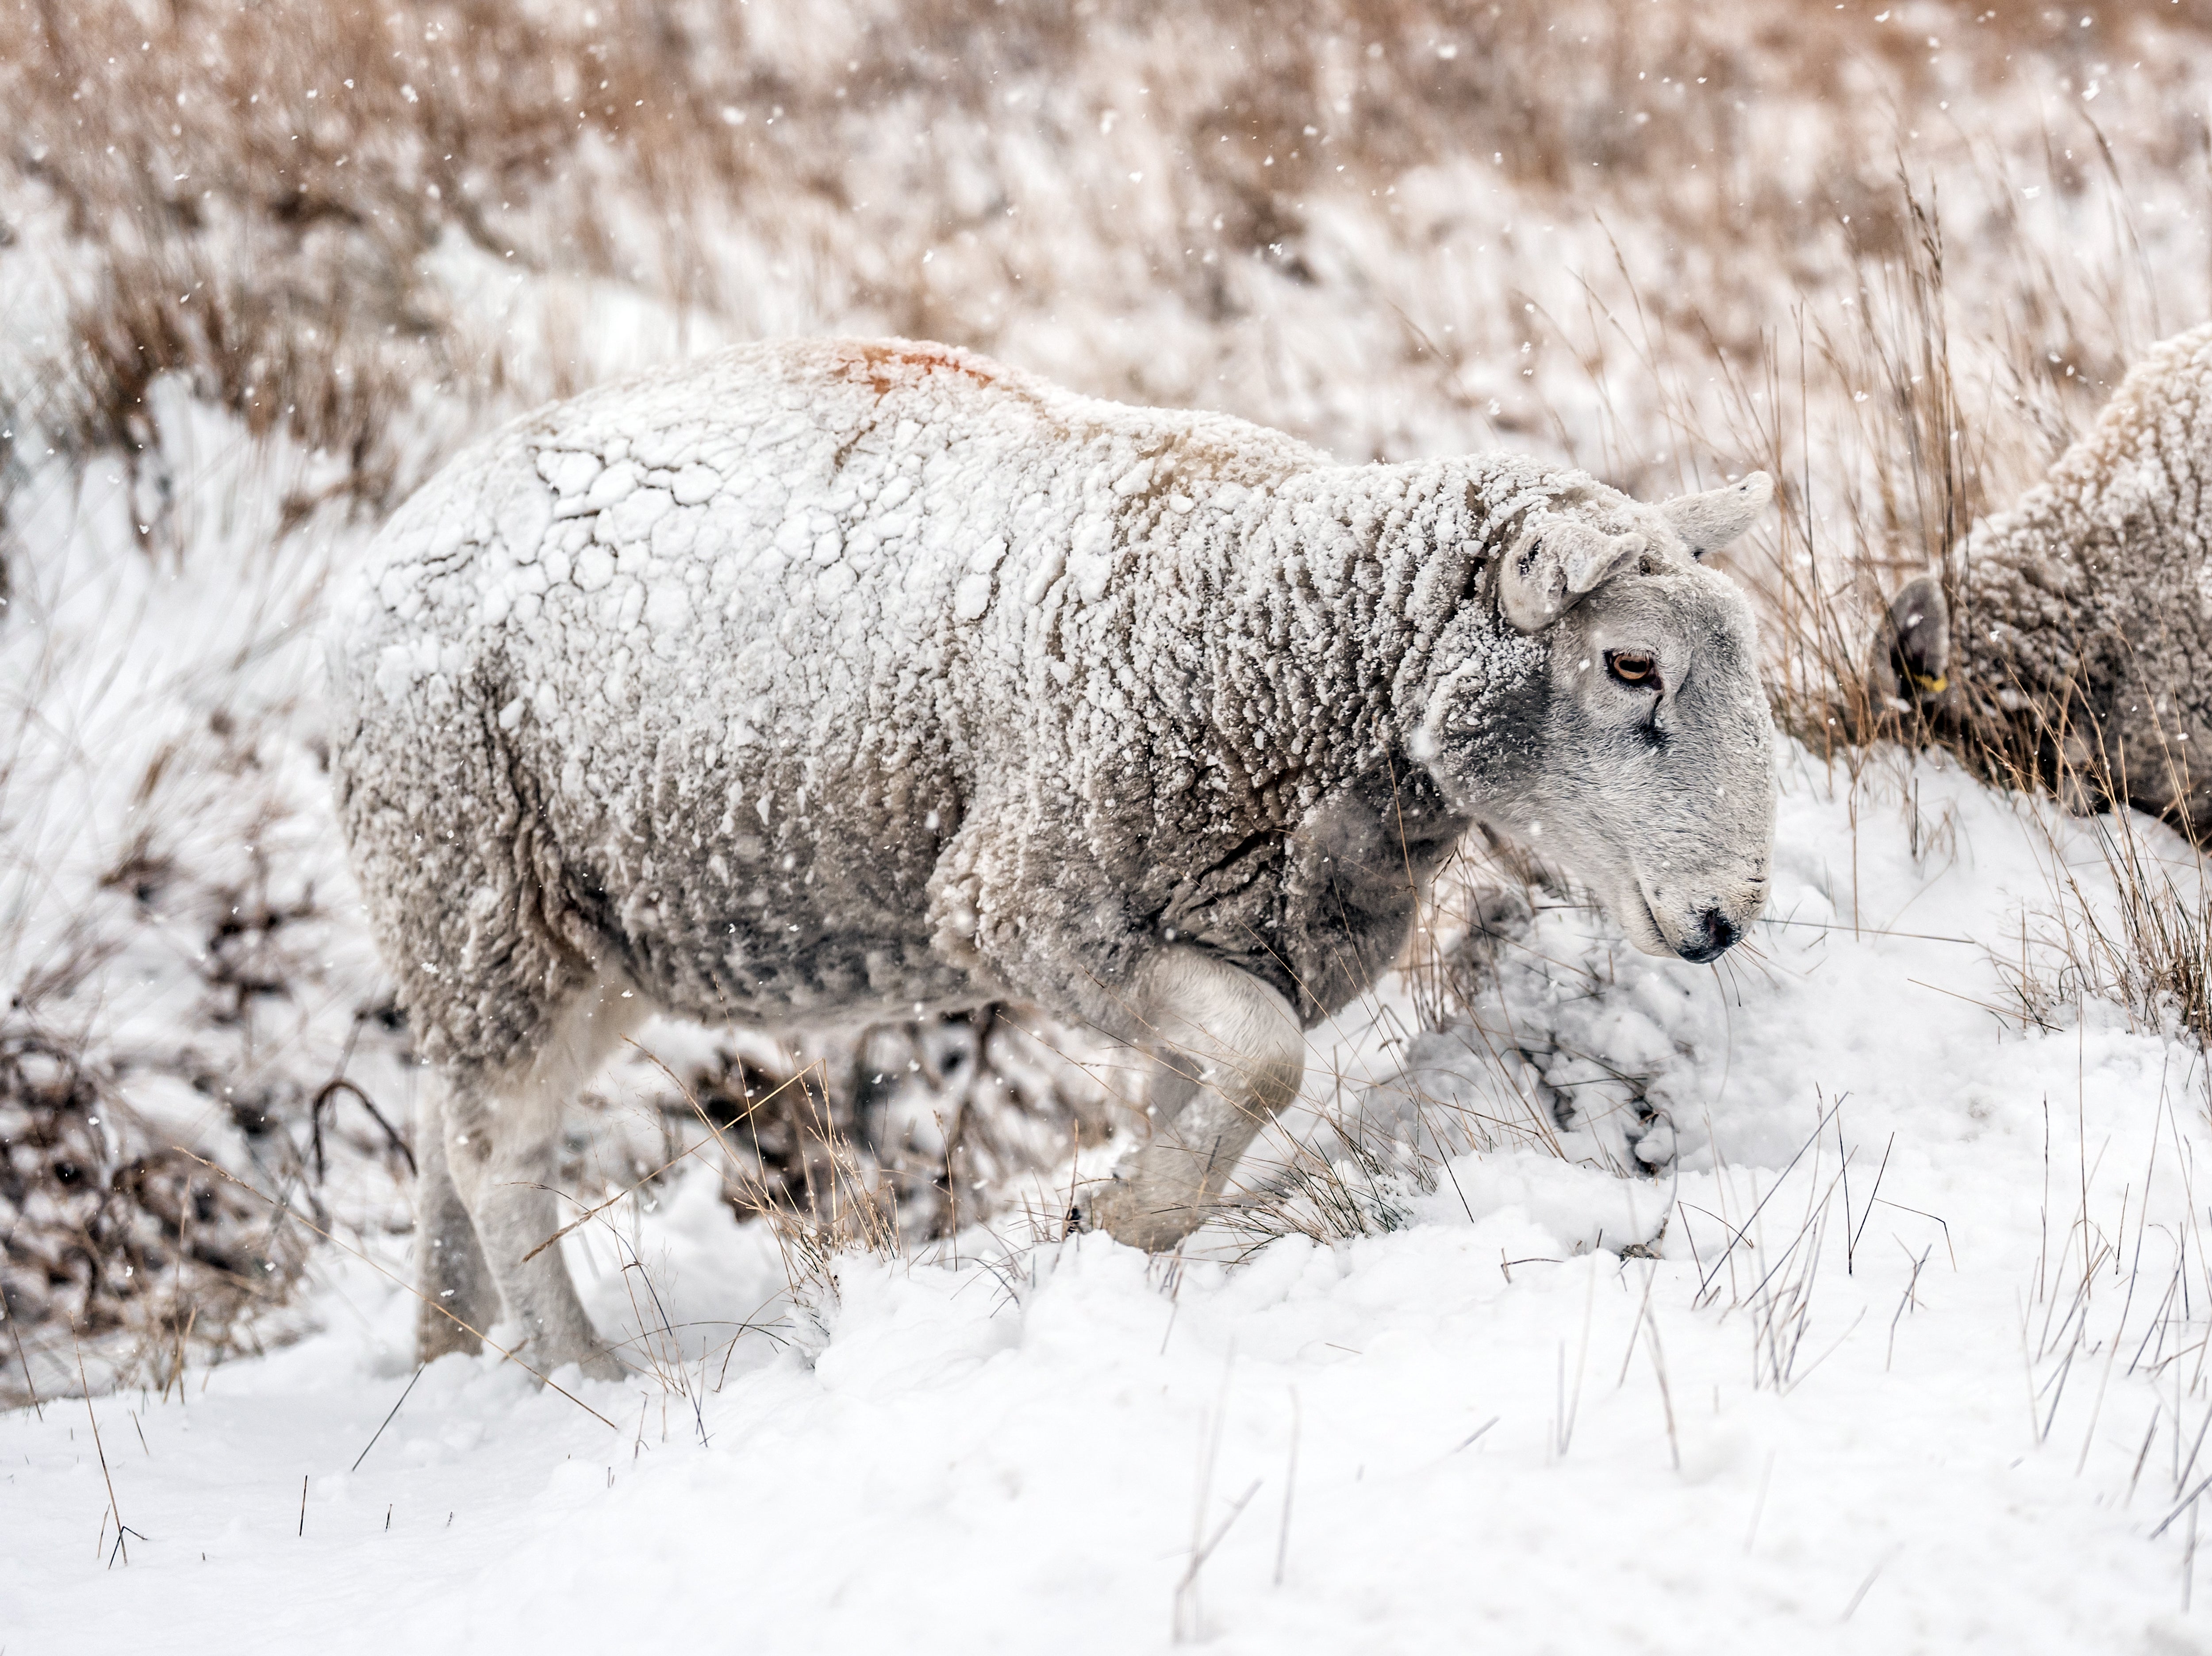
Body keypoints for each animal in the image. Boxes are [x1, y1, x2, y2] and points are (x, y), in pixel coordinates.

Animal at [327, 336, 1778, 1371]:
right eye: (1629, 664)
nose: (1724, 919)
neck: (1269, 630)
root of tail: (385, 545)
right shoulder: (1026, 912)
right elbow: (1265, 1059)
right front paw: (1131, 1216)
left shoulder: (1230, 934)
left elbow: (1218, 1086)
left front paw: (1132, 1221)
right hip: (476, 885)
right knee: (498, 1160)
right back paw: (585, 1374)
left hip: (563, 933)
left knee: (444, 1130)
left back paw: (451, 1349)